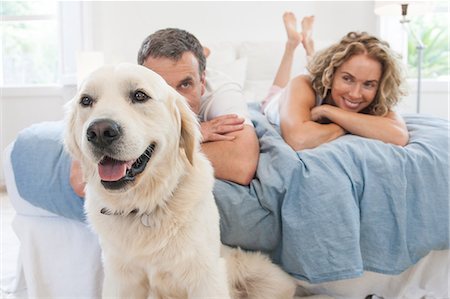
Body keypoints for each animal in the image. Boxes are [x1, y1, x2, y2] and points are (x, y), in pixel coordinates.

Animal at [62, 63, 296, 299]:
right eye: (86, 100)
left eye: (139, 95)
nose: (100, 131)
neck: (144, 208)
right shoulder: (120, 279)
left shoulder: (206, 277)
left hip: (270, 280)